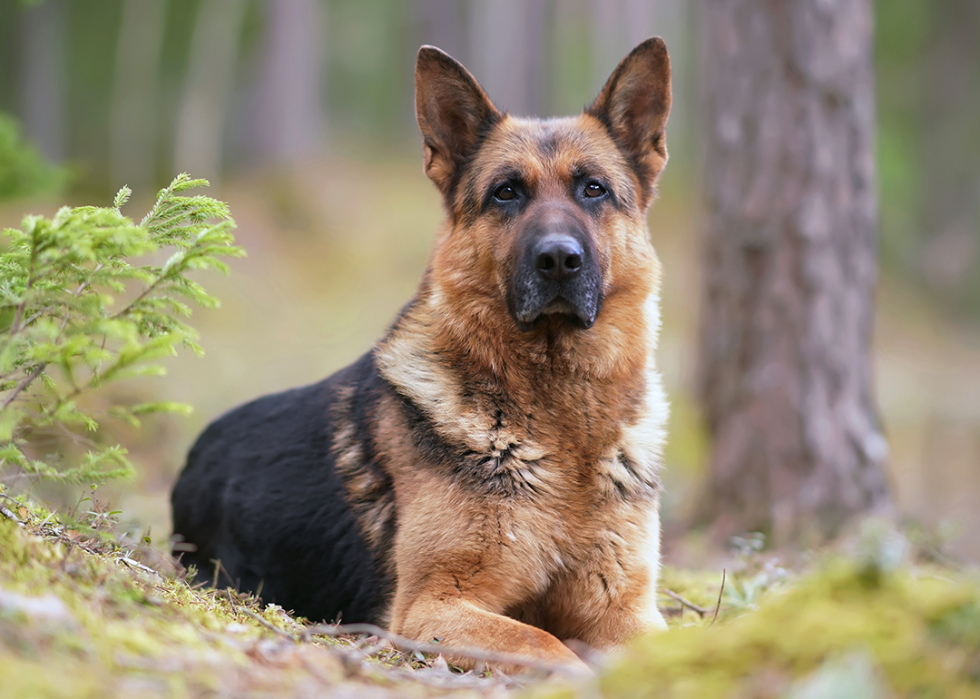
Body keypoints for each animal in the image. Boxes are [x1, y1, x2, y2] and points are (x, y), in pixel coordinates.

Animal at [170, 38, 672, 672]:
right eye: (507, 192)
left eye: (594, 189)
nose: (559, 259)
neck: (559, 419)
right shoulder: (432, 607)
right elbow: (548, 645)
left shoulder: (625, 611)